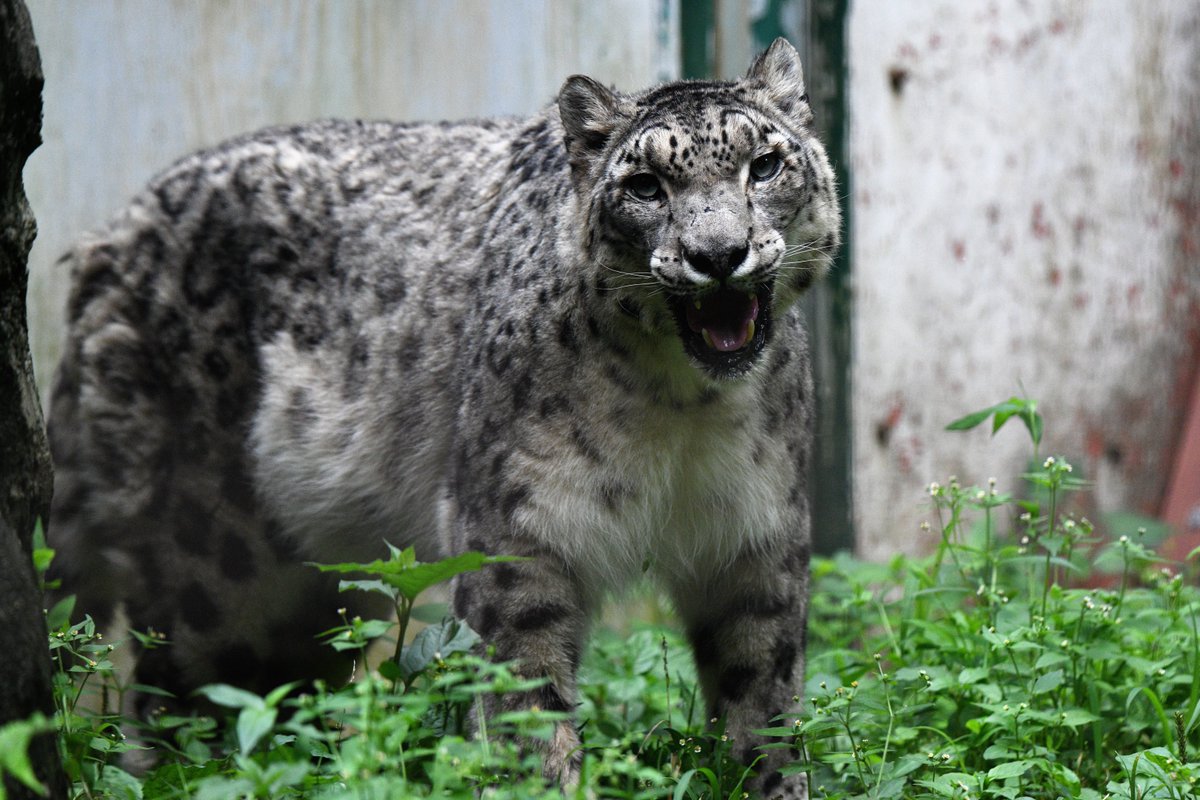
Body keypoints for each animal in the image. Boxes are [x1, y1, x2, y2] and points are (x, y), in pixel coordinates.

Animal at [44, 38, 835, 800]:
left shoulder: (758, 535)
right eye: (645, 184)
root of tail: (109, 237)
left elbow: (763, 692)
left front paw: (774, 783)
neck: (683, 409)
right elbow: (526, 700)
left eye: (765, 164)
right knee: (181, 706)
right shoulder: (519, 533)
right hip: (213, 568)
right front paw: (542, 784)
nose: (719, 255)